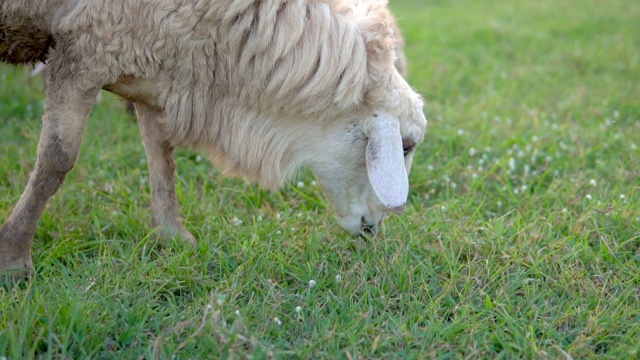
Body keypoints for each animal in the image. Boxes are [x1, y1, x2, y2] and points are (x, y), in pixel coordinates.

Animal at [3, 0, 430, 278]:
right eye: (406, 146)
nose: (374, 227)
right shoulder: (86, 48)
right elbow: (56, 161)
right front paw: (14, 258)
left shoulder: (144, 56)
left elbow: (160, 154)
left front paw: (172, 235)